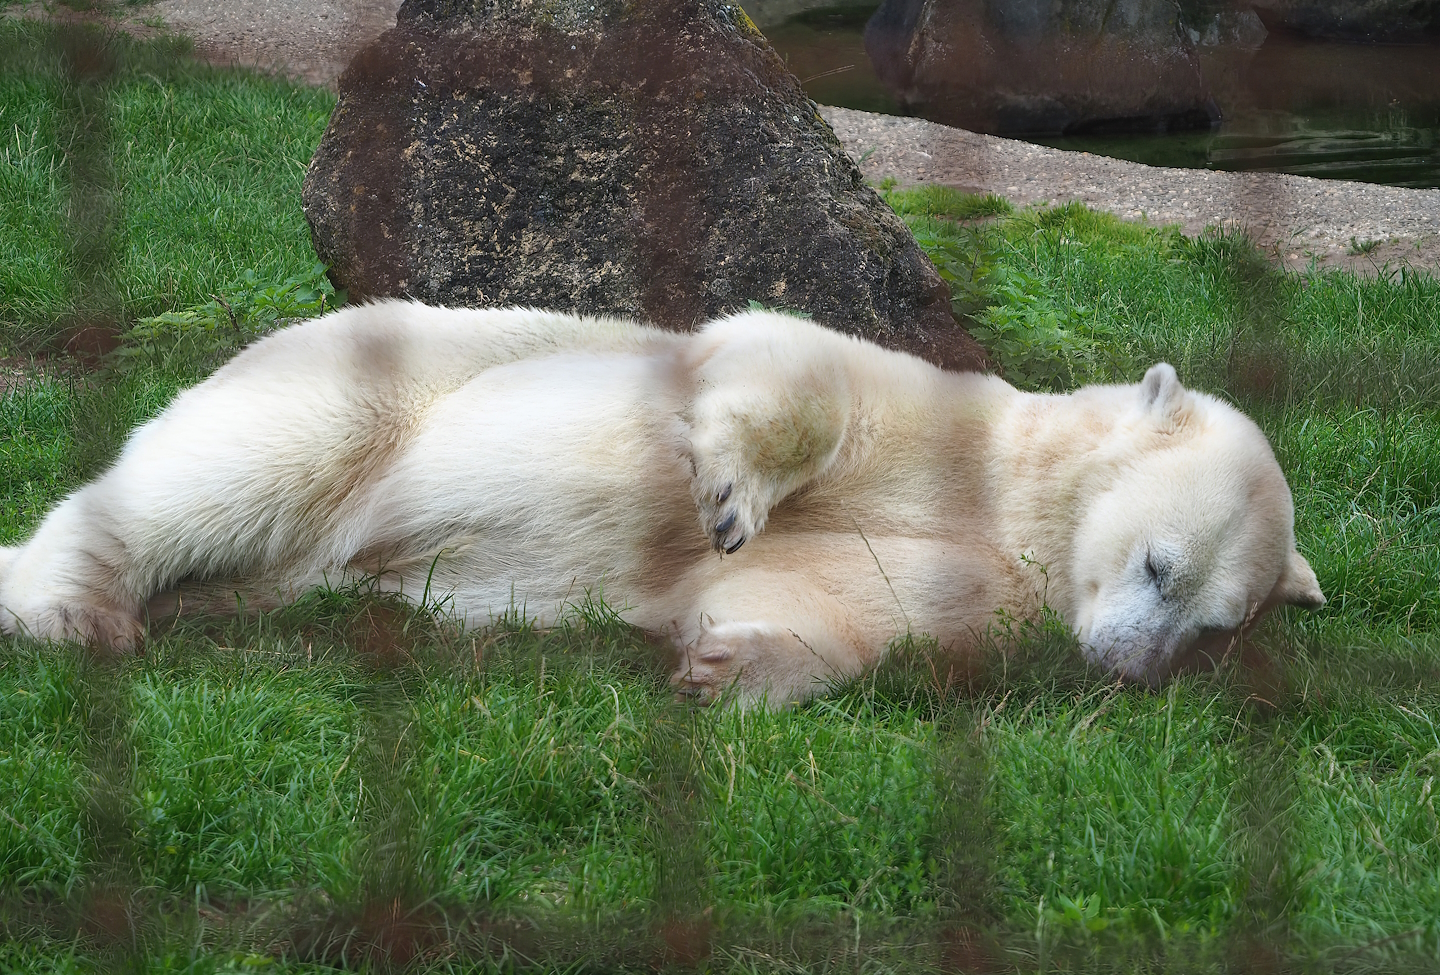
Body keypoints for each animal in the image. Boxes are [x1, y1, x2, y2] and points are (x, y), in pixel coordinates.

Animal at [0, 301, 1325, 705]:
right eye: (1158, 565)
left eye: (1213, 629)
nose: (1126, 670)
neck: (1006, 496)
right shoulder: (938, 419)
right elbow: (790, 367)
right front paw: (730, 494)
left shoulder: (976, 569)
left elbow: (842, 594)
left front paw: (732, 665)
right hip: (374, 385)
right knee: (227, 472)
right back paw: (74, 604)